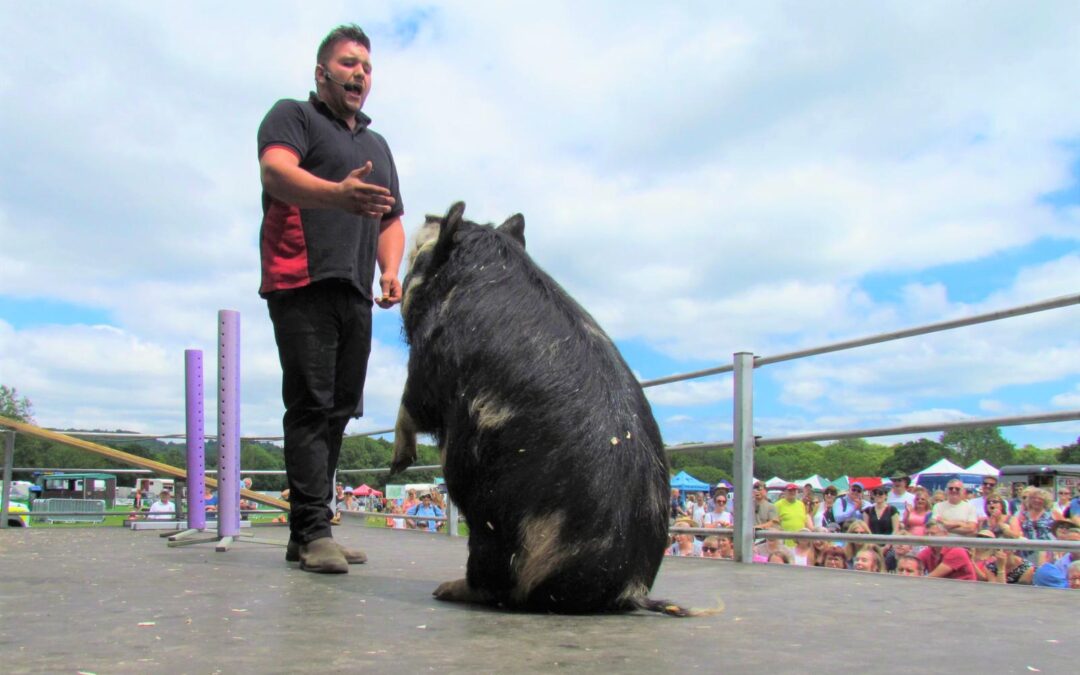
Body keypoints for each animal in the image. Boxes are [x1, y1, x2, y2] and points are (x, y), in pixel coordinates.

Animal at [393, 200, 686, 617]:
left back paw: (444, 589)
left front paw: (398, 464)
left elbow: (412, 404)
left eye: (421, 253)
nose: (430, 214)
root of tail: (629, 589)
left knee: (491, 586)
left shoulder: (429, 361)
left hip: (492, 533)